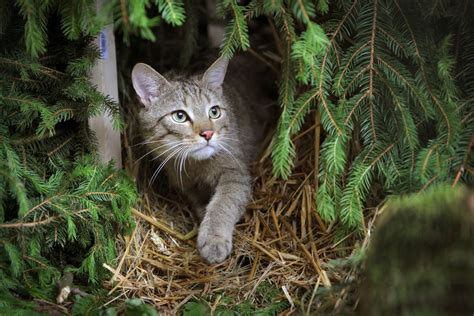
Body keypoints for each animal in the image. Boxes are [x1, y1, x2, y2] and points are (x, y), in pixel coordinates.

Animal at [131, 55, 272, 262]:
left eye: (214, 112)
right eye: (179, 116)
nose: (208, 133)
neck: (196, 166)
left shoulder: (236, 174)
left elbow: (223, 203)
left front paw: (214, 237)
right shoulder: (187, 186)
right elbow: (201, 203)